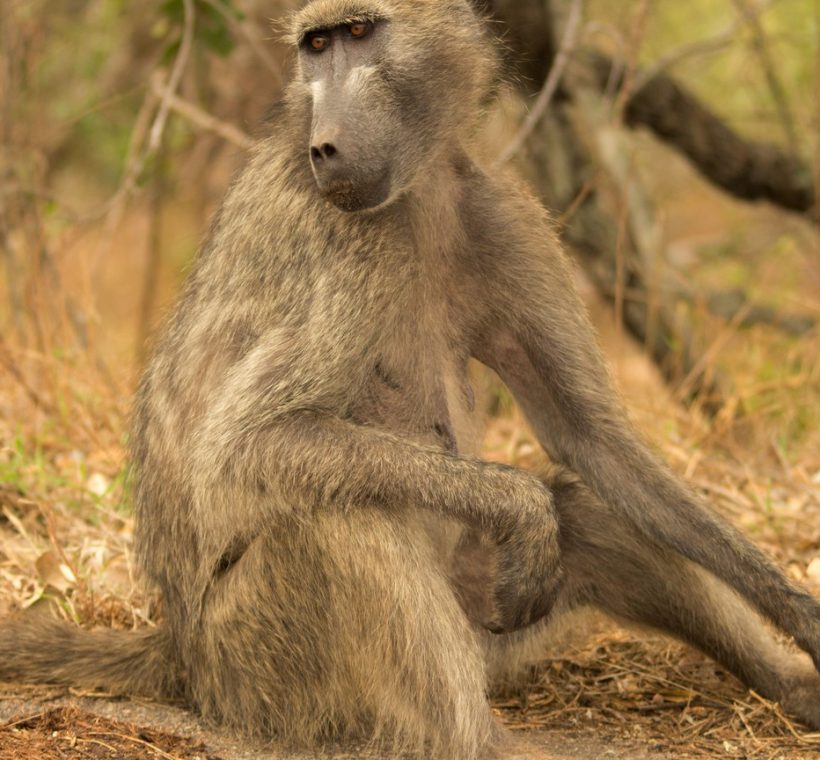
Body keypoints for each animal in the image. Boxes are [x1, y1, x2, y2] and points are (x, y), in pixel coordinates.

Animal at [1, 1, 819, 758]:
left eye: (360, 33)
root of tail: (182, 655)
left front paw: (798, 614)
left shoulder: (502, 213)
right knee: (338, 517)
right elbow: (251, 441)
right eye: (316, 45)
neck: (418, 191)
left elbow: (591, 439)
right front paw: (521, 506)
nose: (325, 145)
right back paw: (489, 743)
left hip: (483, 614)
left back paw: (788, 689)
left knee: (587, 508)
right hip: (258, 664)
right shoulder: (343, 240)